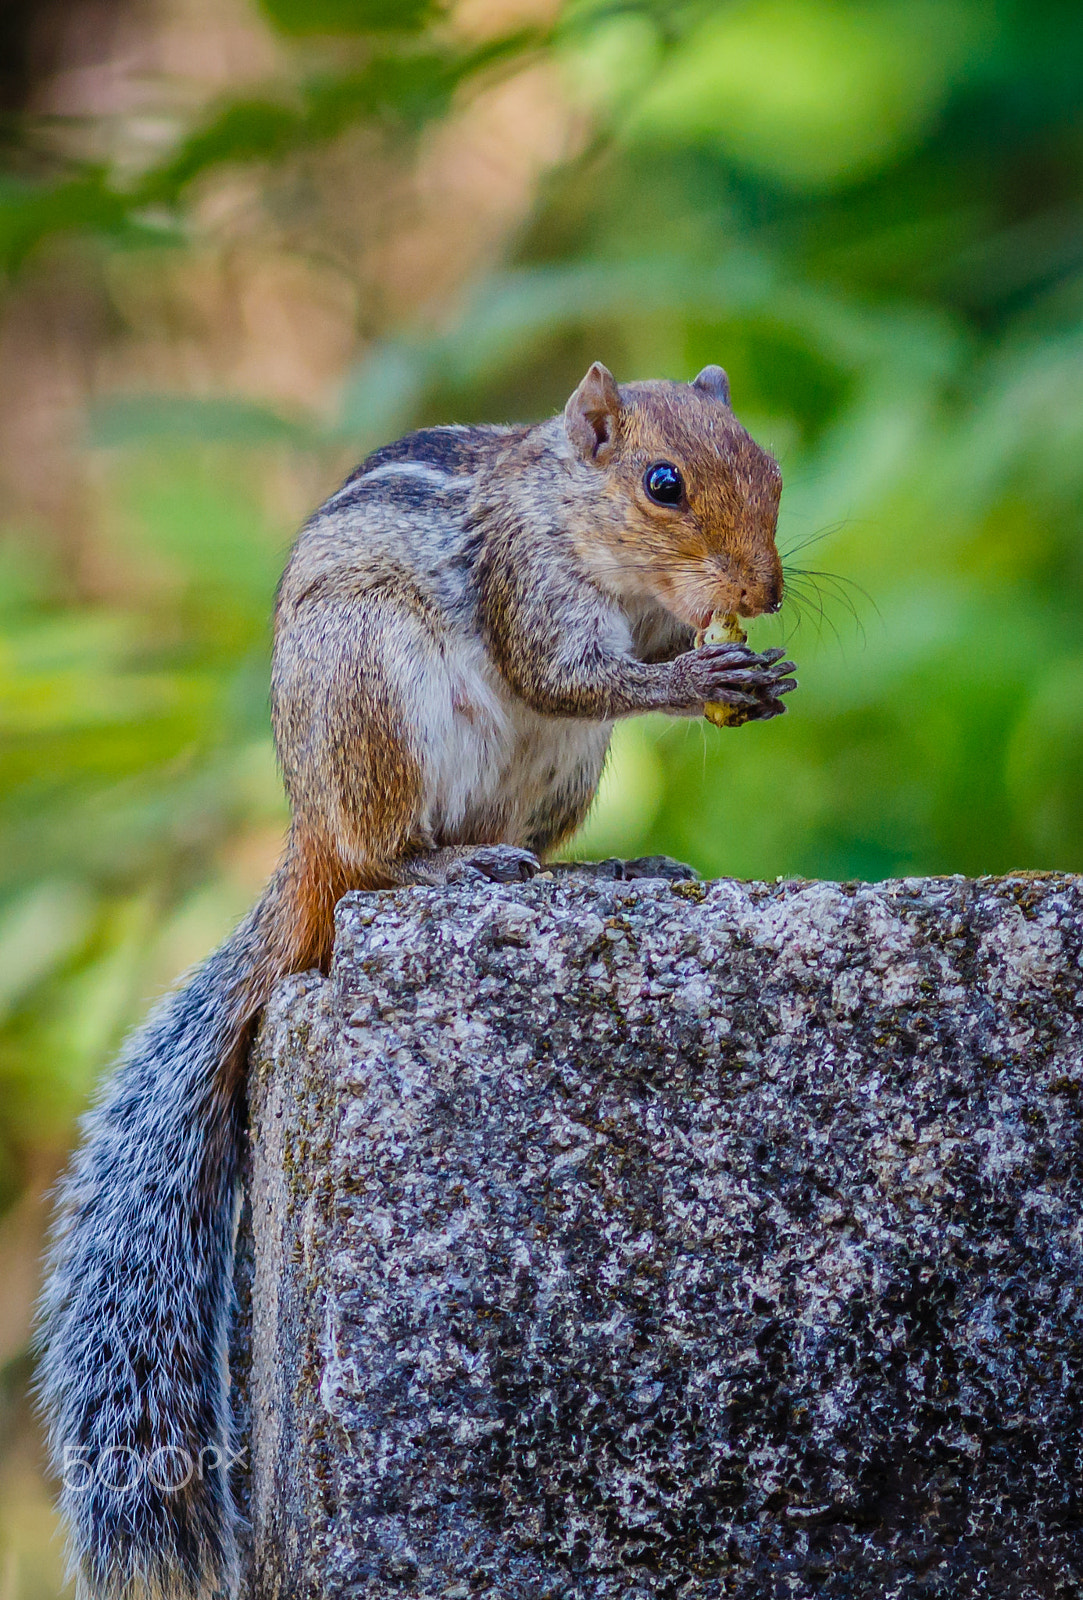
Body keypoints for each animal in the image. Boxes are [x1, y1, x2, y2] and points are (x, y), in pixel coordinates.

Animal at [35, 363, 793, 1600]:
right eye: (663, 484)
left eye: (768, 467)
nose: (764, 592)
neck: (576, 523)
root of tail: (308, 830)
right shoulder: (531, 589)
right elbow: (567, 673)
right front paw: (698, 673)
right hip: (377, 693)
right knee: (382, 860)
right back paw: (445, 865)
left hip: (560, 777)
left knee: (523, 840)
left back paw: (596, 868)